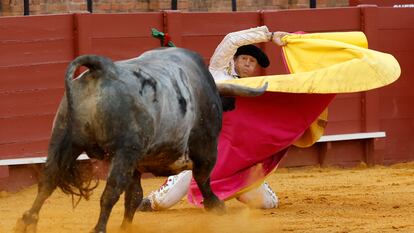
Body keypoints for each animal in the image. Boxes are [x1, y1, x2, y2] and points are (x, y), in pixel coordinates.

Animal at [14, 47, 266, 233]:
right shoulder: (206, 147)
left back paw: (27, 222)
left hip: (63, 138)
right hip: (124, 151)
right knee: (110, 191)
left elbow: (134, 197)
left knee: (49, 180)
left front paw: (126, 227)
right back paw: (98, 228)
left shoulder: (136, 165)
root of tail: (103, 69)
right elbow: (203, 178)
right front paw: (216, 206)